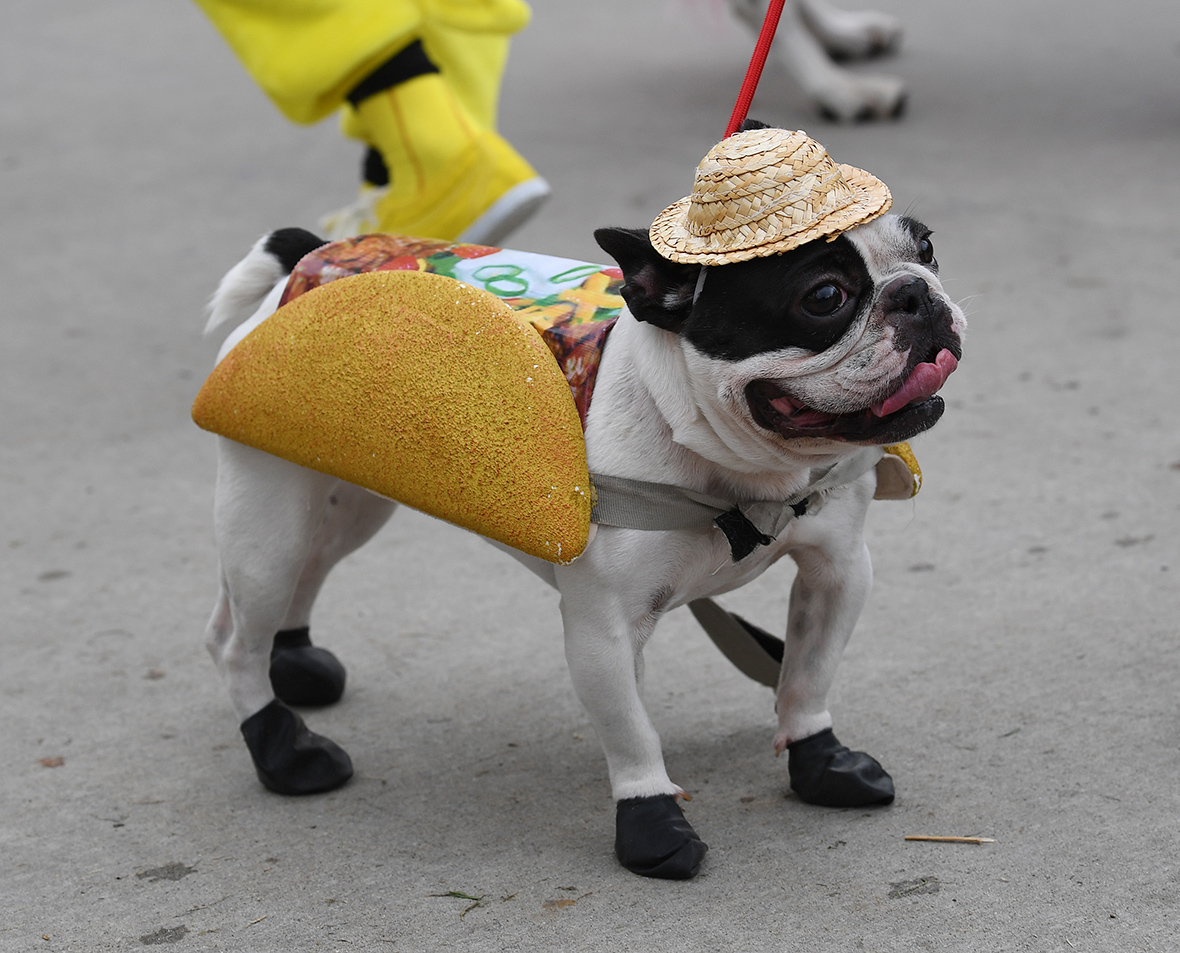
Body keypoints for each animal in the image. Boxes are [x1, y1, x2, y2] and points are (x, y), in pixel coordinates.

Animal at [198, 124, 962, 877]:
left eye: (926, 248)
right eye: (825, 297)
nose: (915, 293)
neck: (738, 474)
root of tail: (307, 261)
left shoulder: (838, 569)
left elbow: (808, 673)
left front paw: (822, 762)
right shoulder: (606, 627)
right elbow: (632, 731)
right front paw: (652, 824)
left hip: (348, 494)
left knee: (307, 571)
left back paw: (294, 663)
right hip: (268, 517)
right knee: (235, 637)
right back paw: (284, 749)